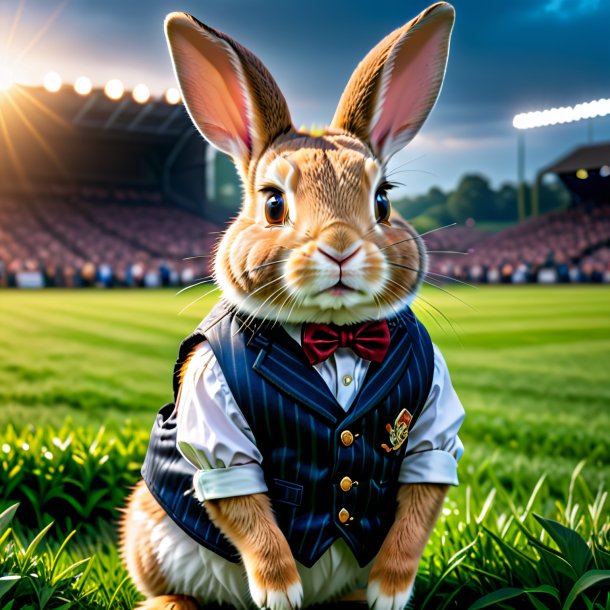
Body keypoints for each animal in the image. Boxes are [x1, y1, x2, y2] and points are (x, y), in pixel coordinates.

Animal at [121, 2, 460, 604]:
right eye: (274, 204)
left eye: (383, 200)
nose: (341, 247)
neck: (337, 337)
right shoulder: (217, 427)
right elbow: (245, 502)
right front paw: (280, 593)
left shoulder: (433, 430)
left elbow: (420, 500)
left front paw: (390, 592)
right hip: (149, 526)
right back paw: (171, 604)